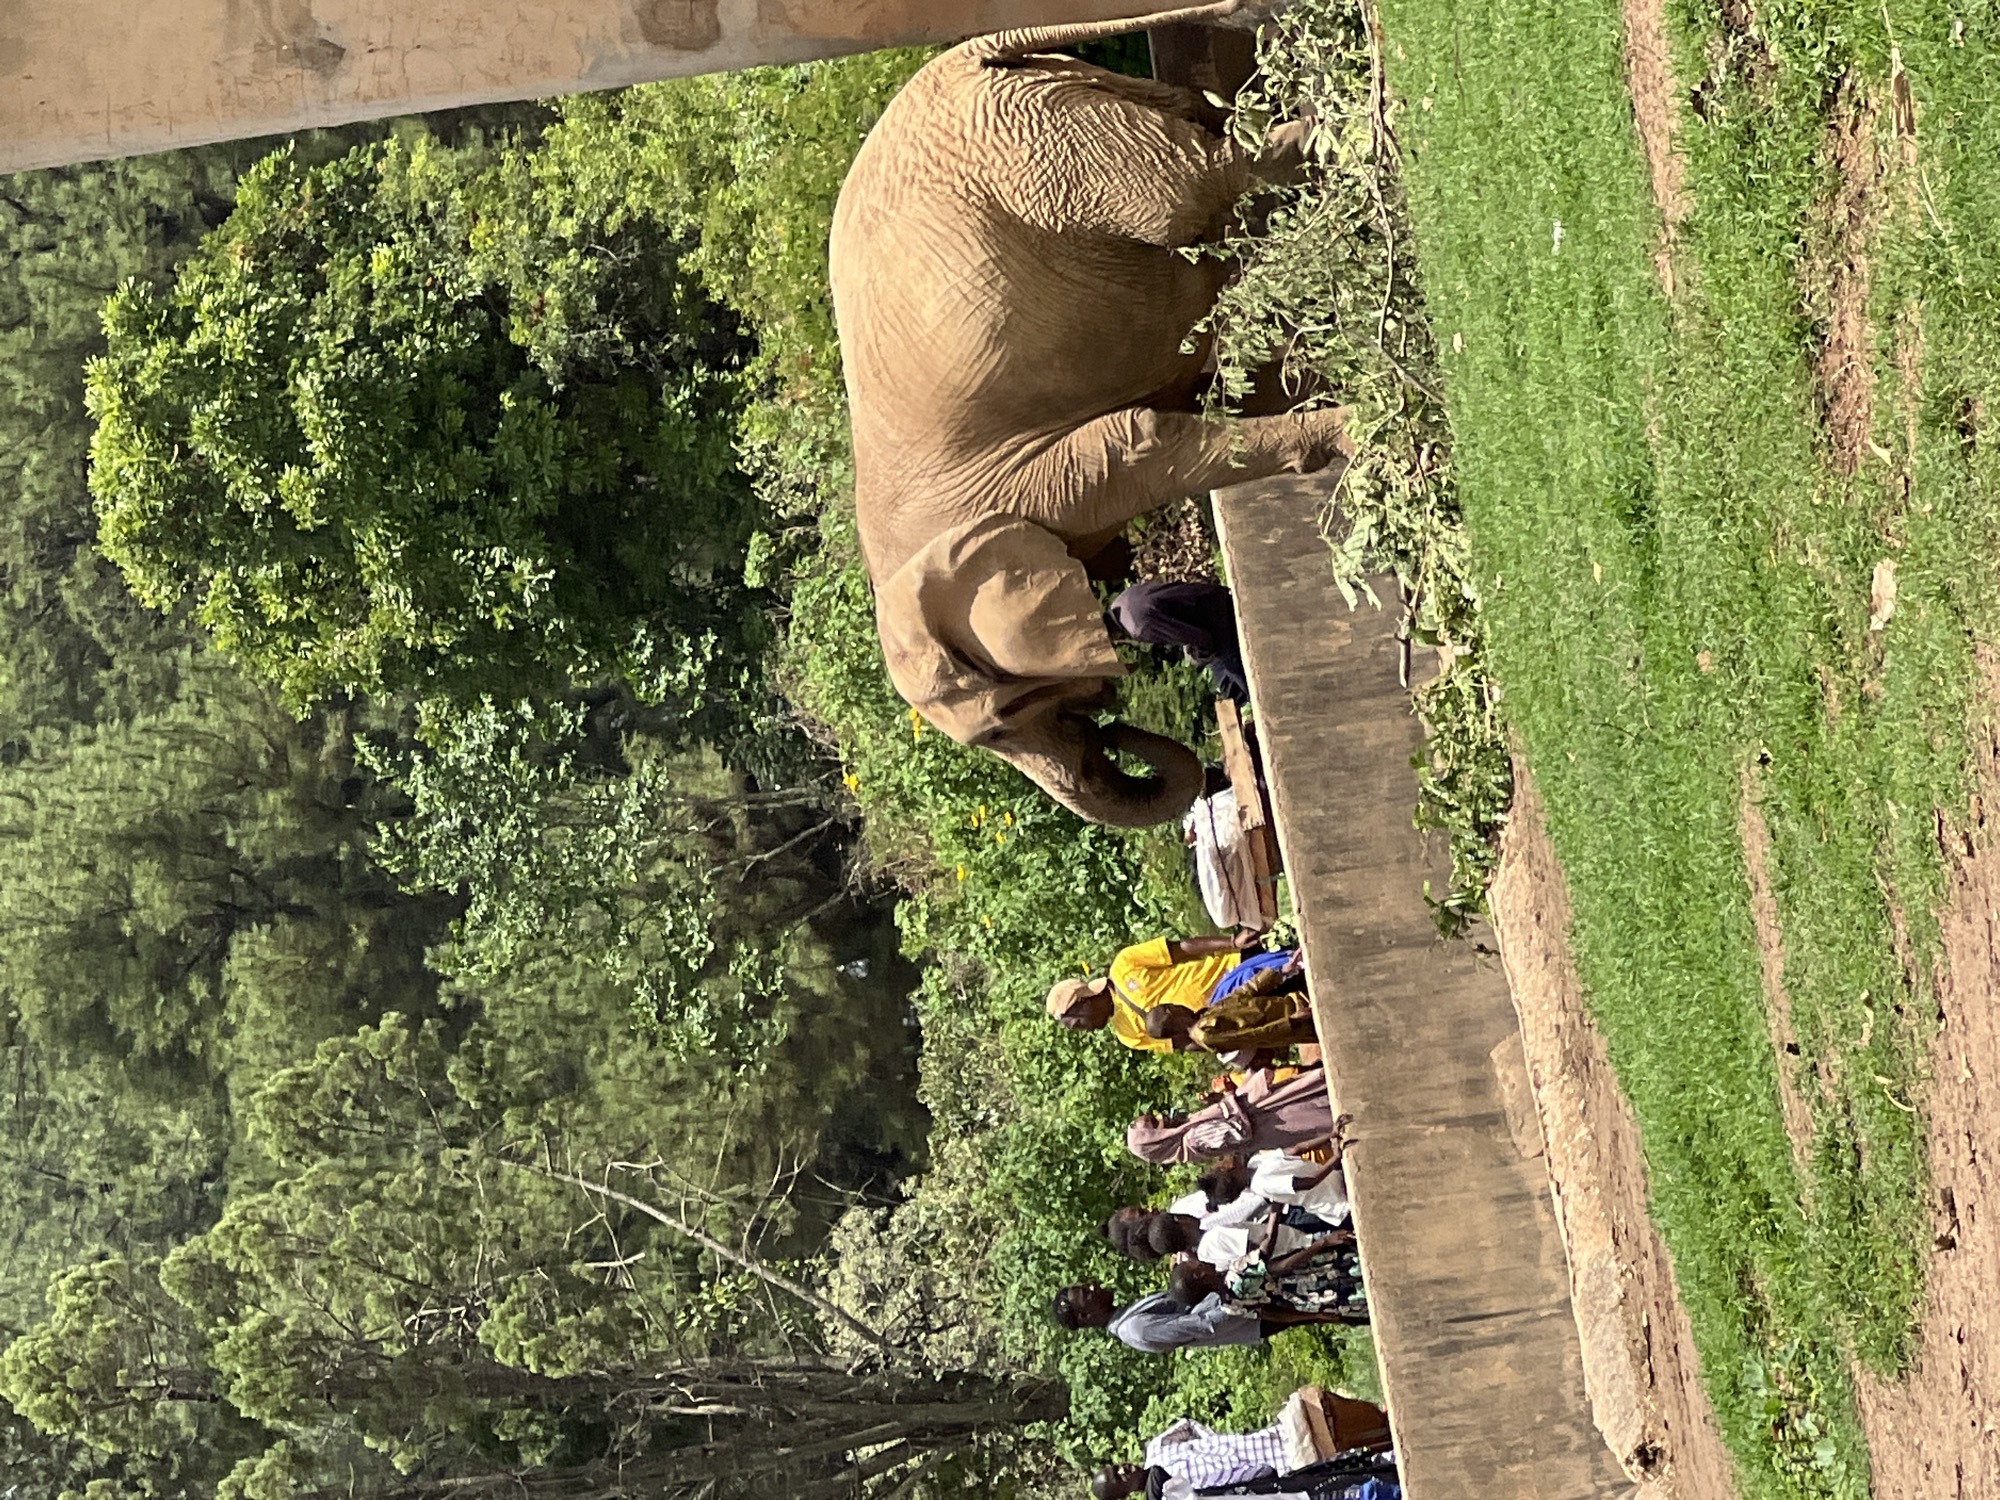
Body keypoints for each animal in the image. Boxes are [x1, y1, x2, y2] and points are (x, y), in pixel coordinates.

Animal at [829, 0, 1351, 827]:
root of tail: (966, 58)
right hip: (1062, 118)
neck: (897, 575)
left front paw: (1355, 431)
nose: (1112, 719)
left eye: (1001, 721)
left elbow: (1136, 440)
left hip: (1045, 155)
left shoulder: (1022, 484)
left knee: (1198, 186)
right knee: (1199, 138)